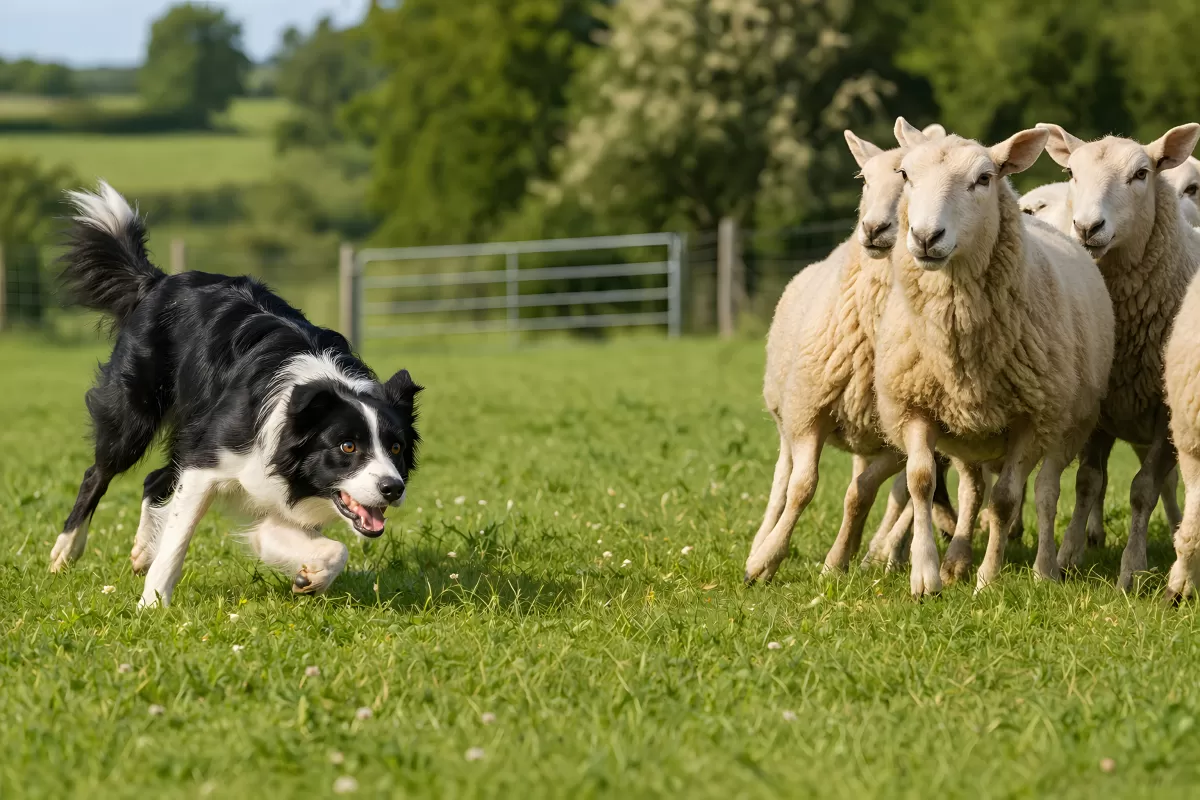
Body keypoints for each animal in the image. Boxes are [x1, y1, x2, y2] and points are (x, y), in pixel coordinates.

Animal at [745, 129, 954, 583]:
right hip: (786, 411)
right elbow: (802, 487)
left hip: (866, 429)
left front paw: (837, 562)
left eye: (906, 178)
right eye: (863, 179)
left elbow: (861, 494)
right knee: (781, 479)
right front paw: (765, 561)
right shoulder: (809, 411)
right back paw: (760, 539)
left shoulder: (899, 435)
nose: (873, 228)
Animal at [874, 120, 1114, 597]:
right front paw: (927, 575)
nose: (925, 238)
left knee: (1045, 491)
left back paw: (1045, 568)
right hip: (970, 434)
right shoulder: (915, 405)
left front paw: (987, 579)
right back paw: (957, 559)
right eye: (905, 175)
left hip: (1066, 423)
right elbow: (921, 481)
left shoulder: (1030, 418)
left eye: (984, 179)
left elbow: (1005, 500)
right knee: (971, 492)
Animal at [1038, 123, 1200, 591]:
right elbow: (1088, 482)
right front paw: (1067, 556)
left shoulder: (1167, 414)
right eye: (1070, 173)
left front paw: (1132, 567)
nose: (1087, 227)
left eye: (1141, 174)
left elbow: (1143, 490)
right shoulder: (1098, 405)